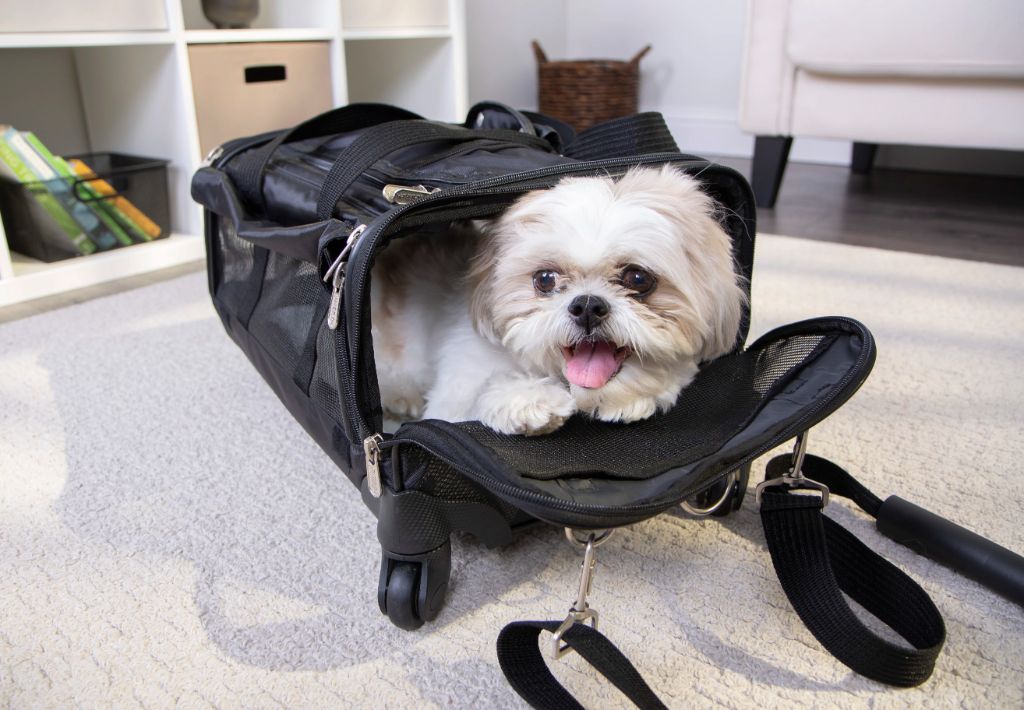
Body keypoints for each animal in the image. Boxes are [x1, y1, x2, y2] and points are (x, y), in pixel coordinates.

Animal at [368, 165, 745, 434]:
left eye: (638, 279)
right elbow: (475, 400)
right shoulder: (454, 396)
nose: (588, 306)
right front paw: (529, 399)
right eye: (545, 279)